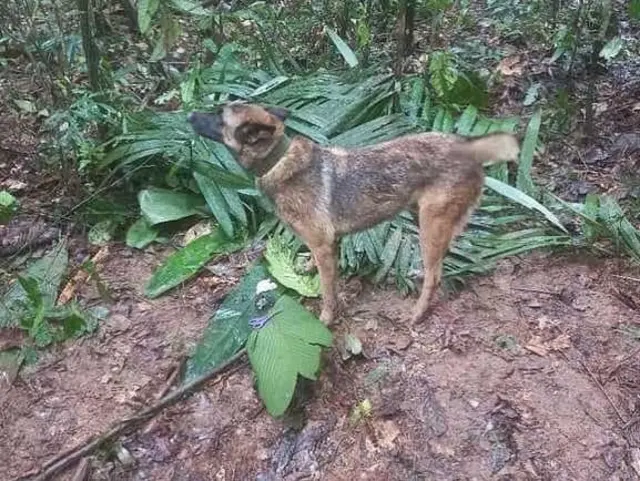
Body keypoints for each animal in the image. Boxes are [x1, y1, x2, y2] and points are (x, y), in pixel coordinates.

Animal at [189, 101, 520, 326]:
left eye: (219, 116)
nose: (189, 115)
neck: (278, 160)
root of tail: (466, 146)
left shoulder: (324, 245)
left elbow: (327, 290)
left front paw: (326, 318)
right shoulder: (324, 244)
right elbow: (315, 267)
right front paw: (306, 268)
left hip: (430, 223)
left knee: (435, 275)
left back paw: (417, 312)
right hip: (422, 217)